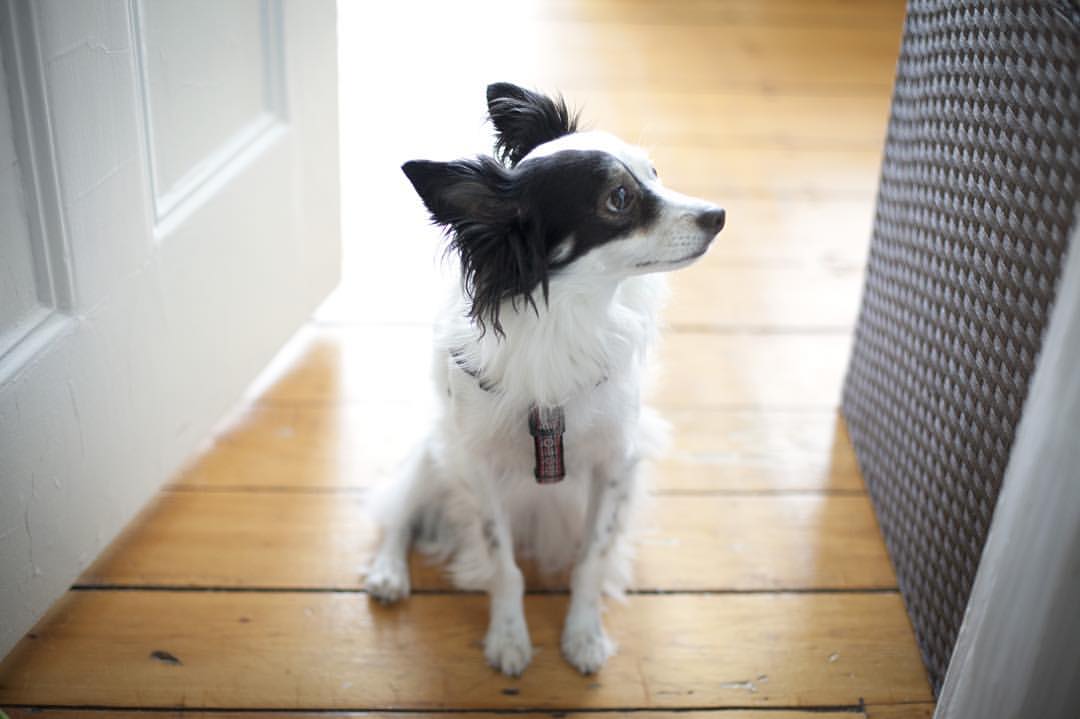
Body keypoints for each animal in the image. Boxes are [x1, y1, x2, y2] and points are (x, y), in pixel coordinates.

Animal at [362, 80, 725, 673]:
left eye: (654, 172)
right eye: (618, 198)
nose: (717, 214)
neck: (568, 314)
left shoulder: (614, 463)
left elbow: (592, 557)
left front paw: (583, 634)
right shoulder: (480, 469)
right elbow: (502, 562)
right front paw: (509, 637)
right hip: (436, 453)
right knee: (401, 514)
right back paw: (389, 572)